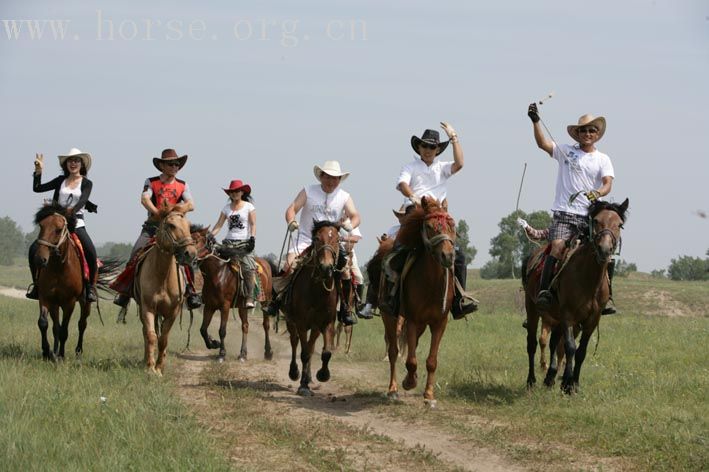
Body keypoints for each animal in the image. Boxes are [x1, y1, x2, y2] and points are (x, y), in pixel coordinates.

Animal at [133, 205, 196, 374]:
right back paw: (145, 360)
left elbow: (163, 339)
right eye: (171, 225)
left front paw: (159, 368)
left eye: (189, 226)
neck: (162, 275)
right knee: (146, 332)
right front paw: (150, 368)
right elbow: (151, 336)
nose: (191, 253)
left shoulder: (173, 312)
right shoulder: (148, 308)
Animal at [191, 227, 274, 364]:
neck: (218, 274)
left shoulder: (225, 306)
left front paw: (221, 354)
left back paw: (268, 353)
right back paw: (243, 354)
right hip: (242, 306)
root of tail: (266, 264)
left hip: (265, 302)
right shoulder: (209, 306)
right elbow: (203, 329)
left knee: (266, 325)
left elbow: (222, 330)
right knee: (245, 326)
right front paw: (213, 343)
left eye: (197, 241)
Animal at [282, 220, 340, 394]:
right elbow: (304, 353)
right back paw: (294, 372)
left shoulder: (327, 322)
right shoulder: (301, 322)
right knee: (295, 343)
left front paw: (323, 375)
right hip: (291, 322)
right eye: (317, 239)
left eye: (338, 240)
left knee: (311, 345)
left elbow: (325, 352)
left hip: (314, 327)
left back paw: (308, 377)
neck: (317, 291)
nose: (326, 267)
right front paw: (303, 386)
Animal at [378, 196, 456, 406]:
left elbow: (431, 360)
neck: (431, 284)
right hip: (389, 316)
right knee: (394, 351)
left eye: (452, 225)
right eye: (428, 226)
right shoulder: (412, 320)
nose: (448, 256)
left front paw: (429, 394)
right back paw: (393, 389)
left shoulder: (439, 323)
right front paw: (409, 382)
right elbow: (411, 359)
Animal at [524, 199, 628, 394]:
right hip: (533, 309)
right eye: (596, 221)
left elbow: (580, 351)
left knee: (554, 343)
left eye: (619, 224)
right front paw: (566, 384)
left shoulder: (592, 320)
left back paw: (550, 377)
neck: (588, 279)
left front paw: (574, 384)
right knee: (532, 344)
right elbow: (570, 347)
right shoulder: (568, 316)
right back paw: (531, 381)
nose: (604, 249)